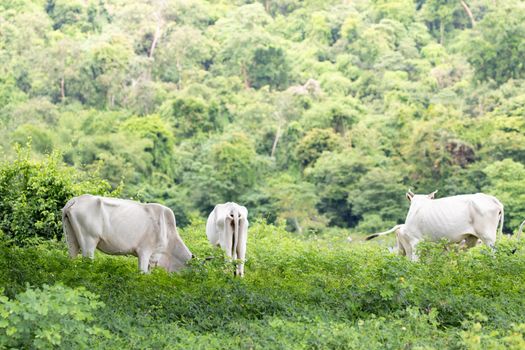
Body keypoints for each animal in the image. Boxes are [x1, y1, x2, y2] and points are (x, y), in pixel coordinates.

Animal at [62, 194, 192, 274]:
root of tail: (75, 200)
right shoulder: (144, 251)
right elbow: (142, 273)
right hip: (89, 241)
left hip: (72, 240)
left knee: (72, 259)